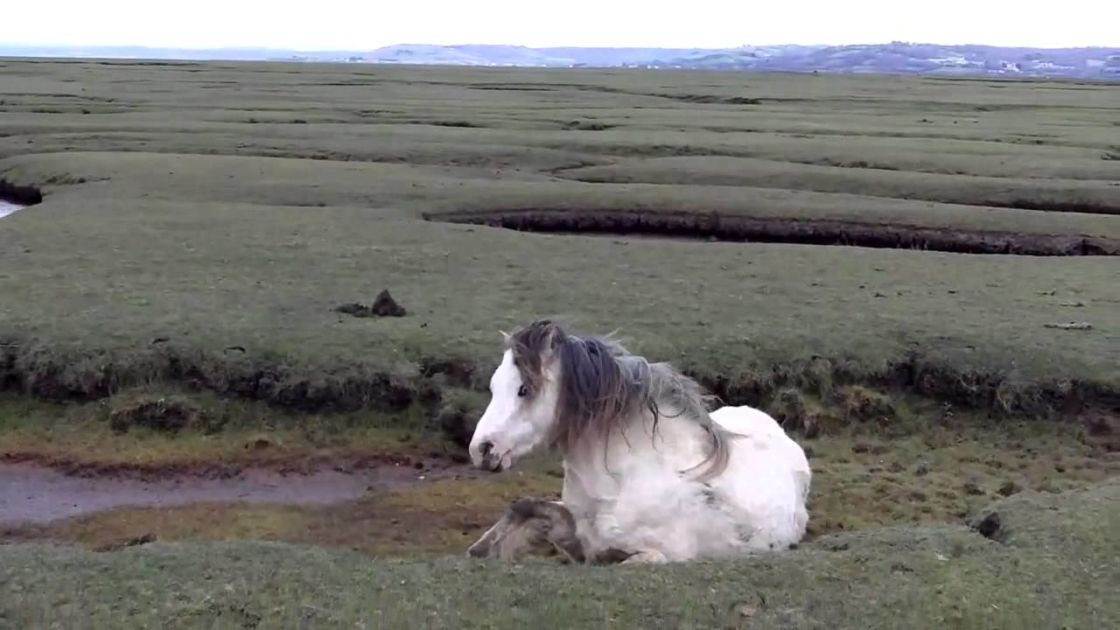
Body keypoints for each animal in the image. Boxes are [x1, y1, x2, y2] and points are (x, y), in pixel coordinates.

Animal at [466, 319, 812, 564]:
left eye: (524, 389)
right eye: (494, 386)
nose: (481, 449)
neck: (621, 480)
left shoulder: (660, 555)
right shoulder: (579, 537)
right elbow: (524, 507)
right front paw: (481, 550)